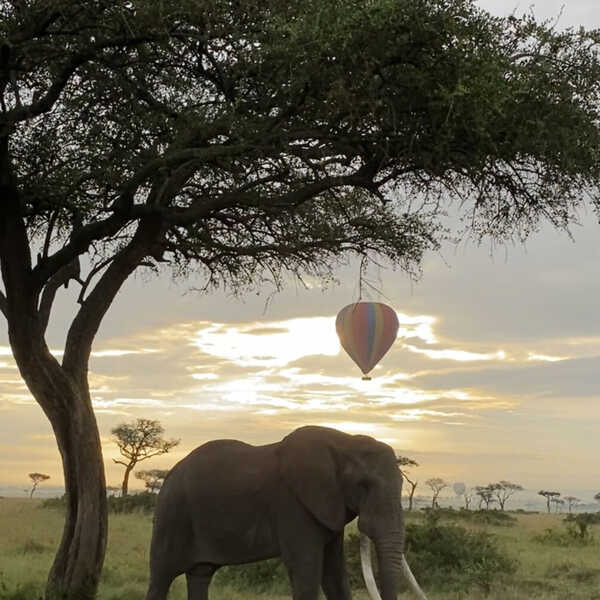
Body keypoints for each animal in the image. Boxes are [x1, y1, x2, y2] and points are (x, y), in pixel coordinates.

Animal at [145, 424, 426, 596]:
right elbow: (307, 571)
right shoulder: (293, 505)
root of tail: (169, 474)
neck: (344, 441)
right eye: (362, 485)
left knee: (200, 574)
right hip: (172, 516)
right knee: (160, 577)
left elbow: (335, 576)